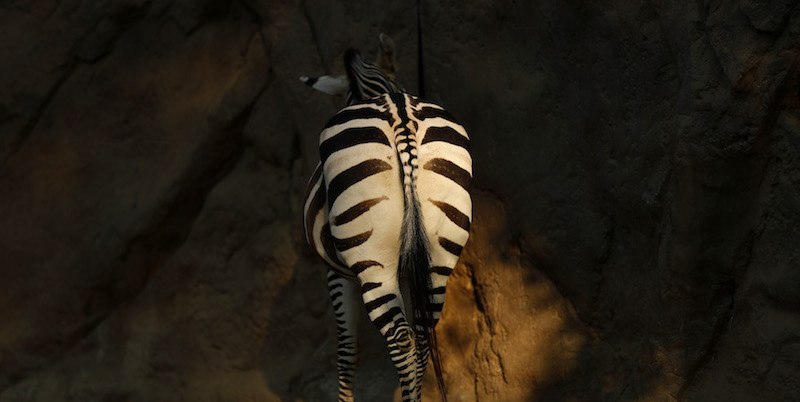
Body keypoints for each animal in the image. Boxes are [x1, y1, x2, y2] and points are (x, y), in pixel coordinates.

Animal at [304, 34, 472, 402]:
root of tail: (399, 114)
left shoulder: (337, 274)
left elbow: (346, 352)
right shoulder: (413, 269)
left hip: (373, 263)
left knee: (400, 340)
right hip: (438, 254)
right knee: (421, 337)